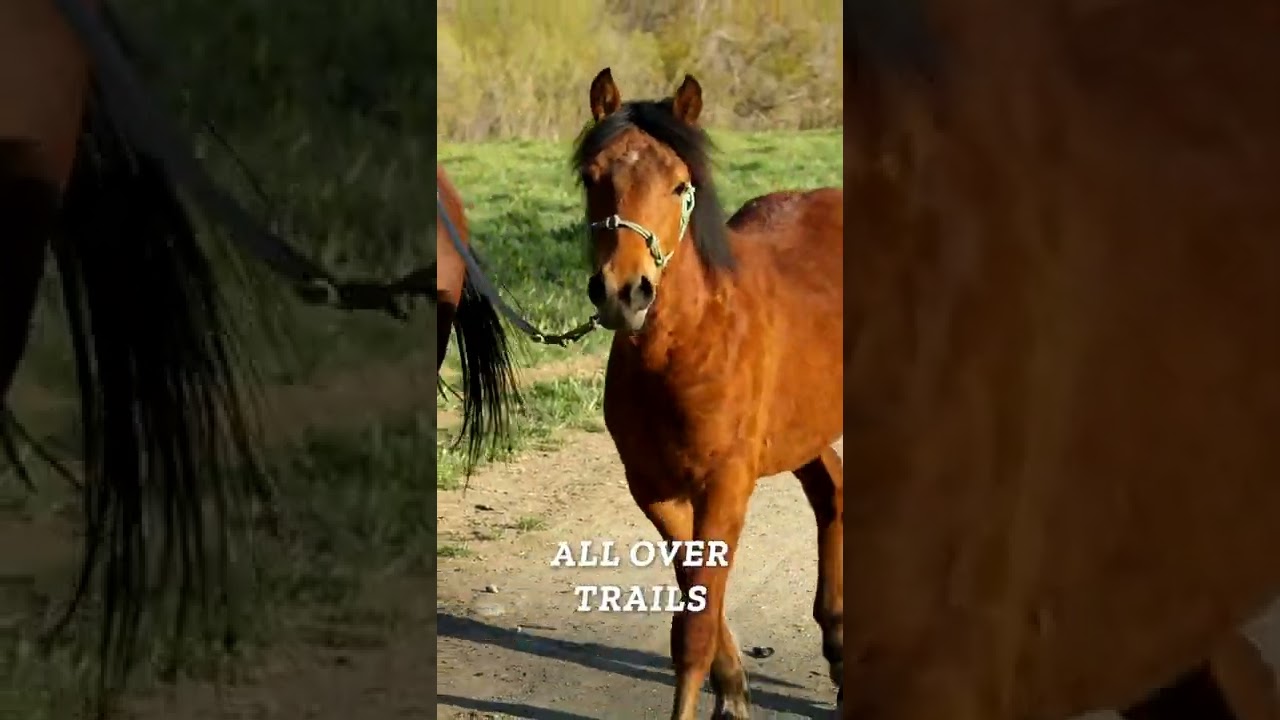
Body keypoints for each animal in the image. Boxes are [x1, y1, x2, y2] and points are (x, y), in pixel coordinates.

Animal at [573, 68, 844, 719]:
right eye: (593, 178)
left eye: (679, 185)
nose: (623, 292)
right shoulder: (655, 490)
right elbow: (698, 605)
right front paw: (734, 689)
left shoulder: (725, 486)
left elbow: (695, 629)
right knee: (831, 491)